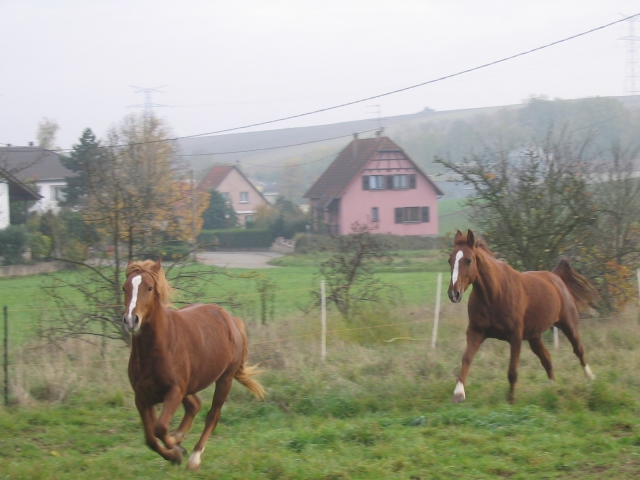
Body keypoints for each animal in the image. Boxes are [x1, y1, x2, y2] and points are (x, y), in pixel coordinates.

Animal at [122, 259, 264, 470]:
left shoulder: (174, 391)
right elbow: (151, 438)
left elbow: (159, 428)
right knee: (194, 405)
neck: (156, 349)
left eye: (149, 287)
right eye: (125, 288)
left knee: (212, 415)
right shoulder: (142, 397)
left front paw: (176, 450)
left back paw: (194, 457)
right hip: (190, 386)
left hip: (225, 379)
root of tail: (230, 319)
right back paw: (179, 440)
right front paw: (174, 452)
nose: (131, 320)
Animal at [446, 230, 598, 404]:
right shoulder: (476, 332)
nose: (454, 294)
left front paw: (511, 401)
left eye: (469, 260)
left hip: (569, 325)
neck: (494, 294)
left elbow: (512, 371)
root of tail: (556, 277)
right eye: (450, 260)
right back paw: (552, 388)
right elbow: (466, 358)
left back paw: (590, 378)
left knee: (578, 350)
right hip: (534, 337)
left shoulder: (515, 337)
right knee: (547, 359)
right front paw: (458, 393)